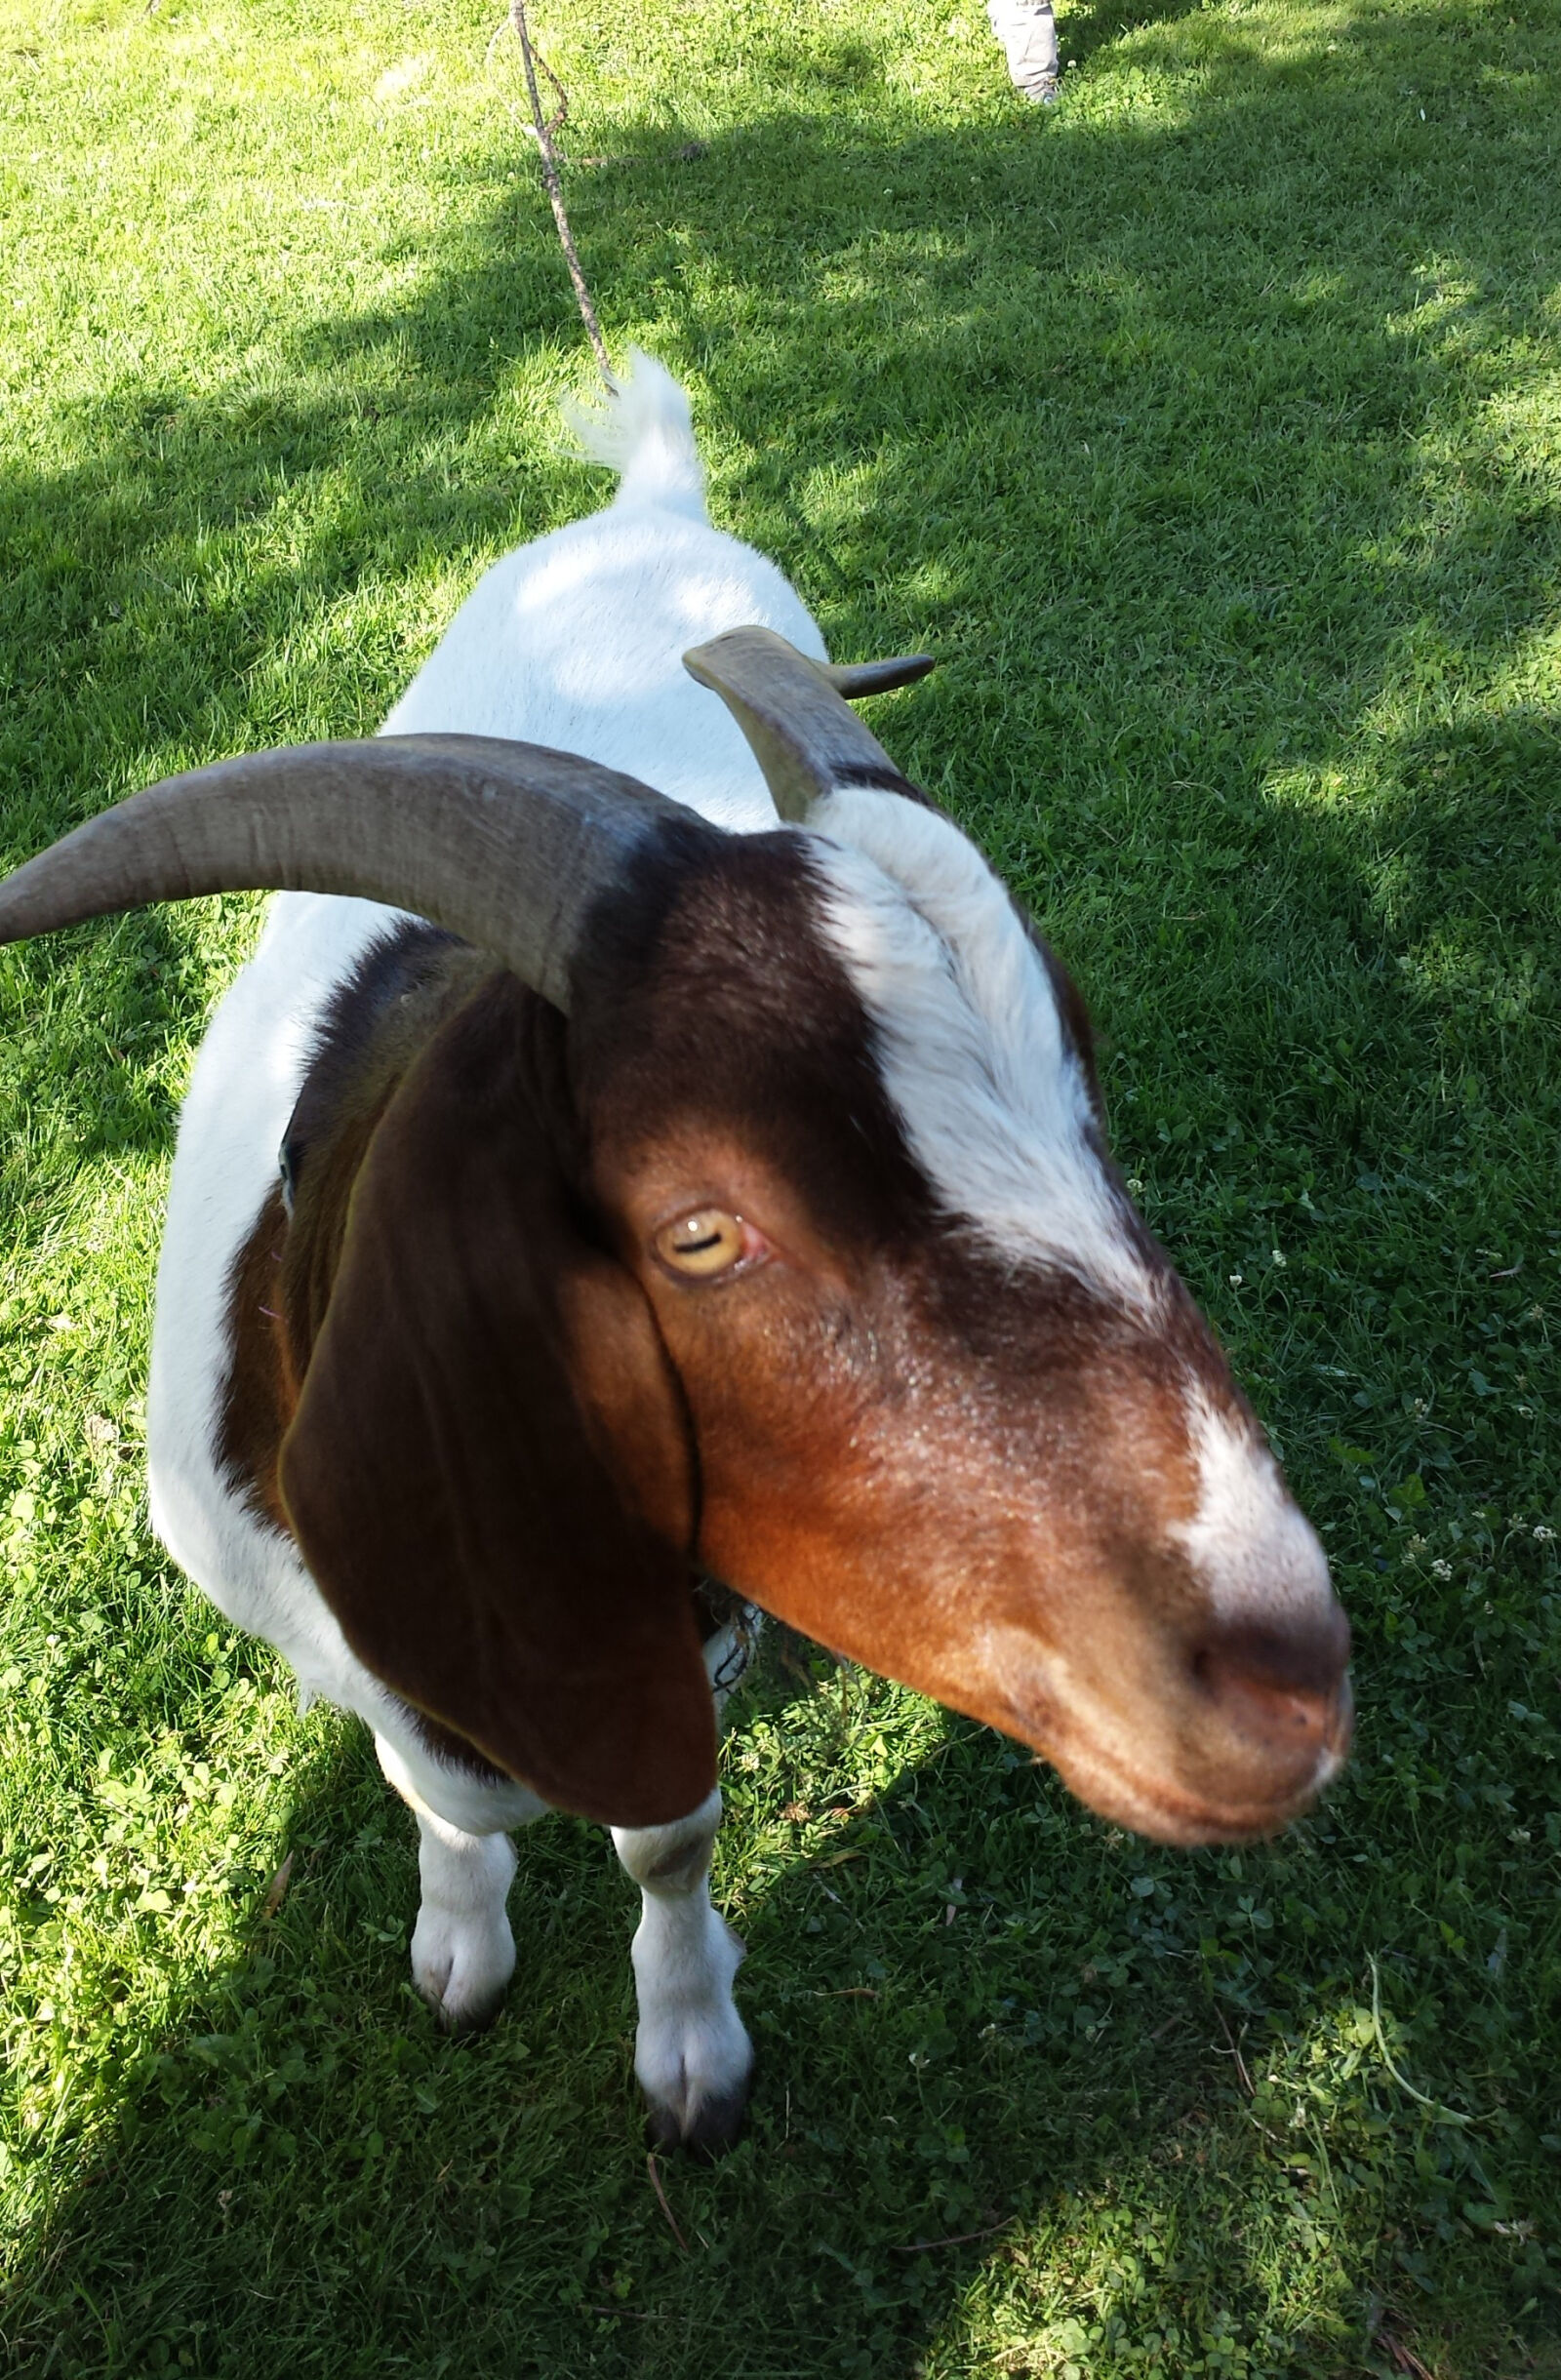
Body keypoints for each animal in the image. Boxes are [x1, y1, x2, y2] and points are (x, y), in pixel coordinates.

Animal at [0, 355, 1350, 2151]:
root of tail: (649, 501)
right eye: (700, 1229)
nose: (1286, 1687)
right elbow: (445, 1802)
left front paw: (689, 2045)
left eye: (1091, 1092)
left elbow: (671, 1831)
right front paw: (461, 1945)